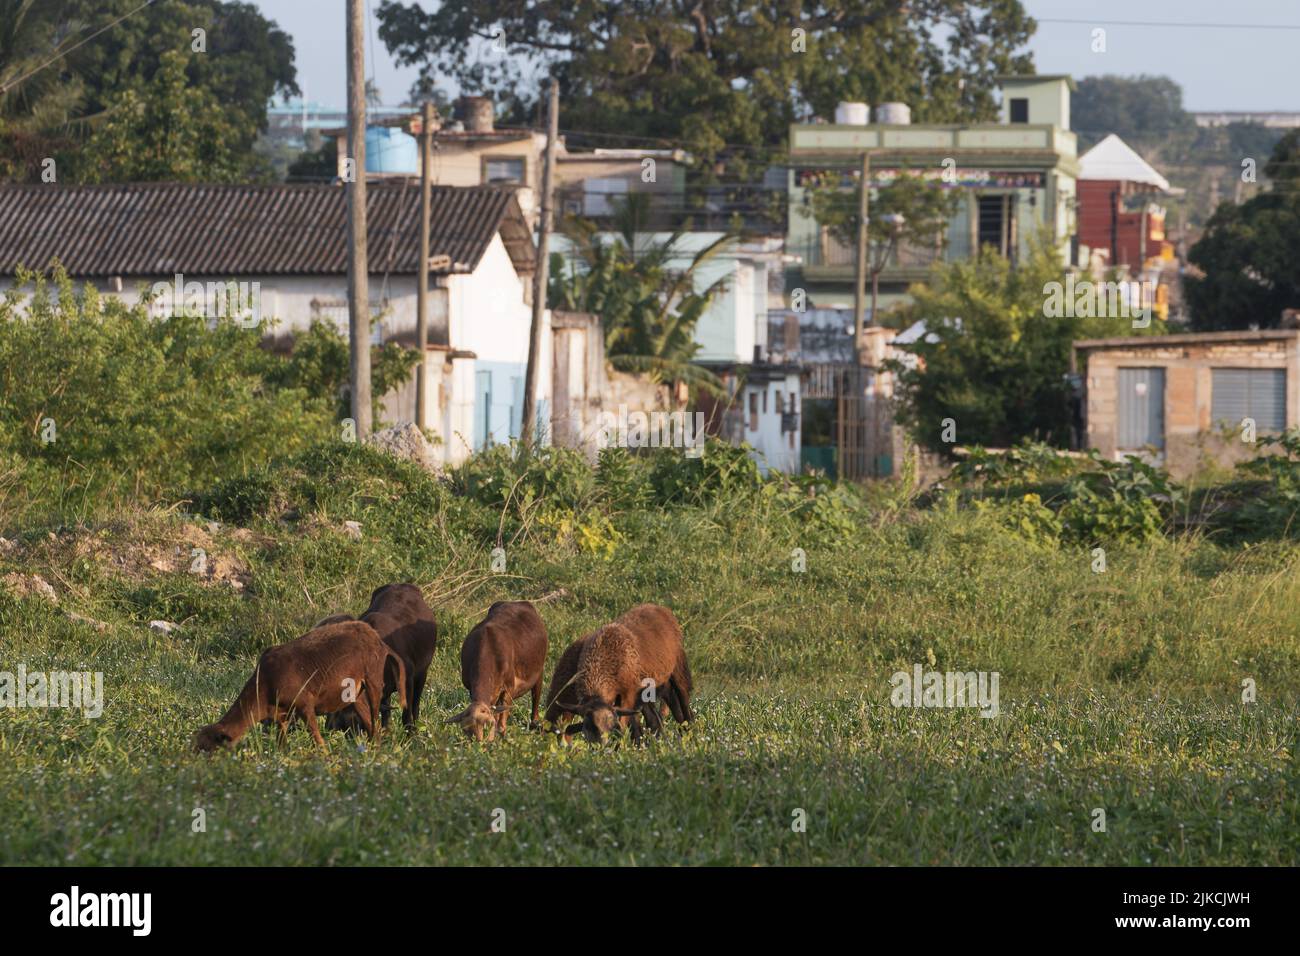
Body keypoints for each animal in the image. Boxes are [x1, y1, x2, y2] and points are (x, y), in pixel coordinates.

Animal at [193, 621, 407, 752]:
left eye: (208, 749)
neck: (262, 689)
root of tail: (379, 641)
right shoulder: (281, 716)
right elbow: (282, 746)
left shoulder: (305, 704)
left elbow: (318, 742)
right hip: (355, 694)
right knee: (370, 724)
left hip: (373, 679)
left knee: (376, 720)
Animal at [325, 583, 438, 732]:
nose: (328, 728)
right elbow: (386, 714)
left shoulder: (408, 681)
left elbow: (406, 714)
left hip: (422, 674)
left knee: (415, 705)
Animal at [446, 601, 547, 741]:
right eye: (465, 729)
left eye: (488, 725)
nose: (479, 743)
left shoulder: (509, 687)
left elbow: (501, 723)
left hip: (539, 671)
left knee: (536, 697)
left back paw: (534, 723)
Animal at [563, 604, 694, 743]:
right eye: (587, 731)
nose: (600, 746)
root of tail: (660, 608)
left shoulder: (629, 696)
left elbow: (628, 726)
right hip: (658, 684)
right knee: (668, 709)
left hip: (679, 667)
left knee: (684, 702)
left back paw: (691, 733)